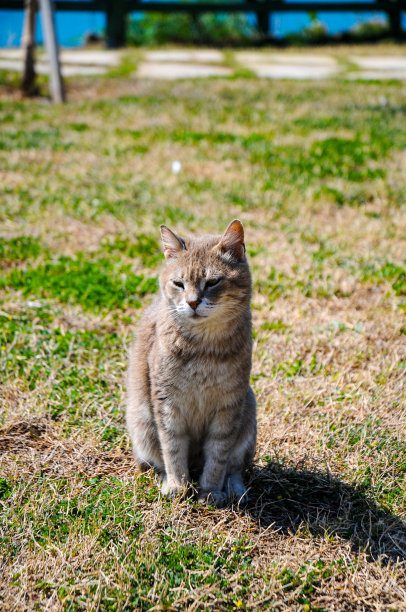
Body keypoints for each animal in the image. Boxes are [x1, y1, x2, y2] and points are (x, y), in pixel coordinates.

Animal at [125, 220, 255, 506]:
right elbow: (172, 448)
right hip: (141, 421)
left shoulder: (229, 405)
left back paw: (235, 489)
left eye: (213, 282)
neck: (203, 348)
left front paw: (211, 490)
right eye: (179, 283)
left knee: (236, 466)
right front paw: (177, 485)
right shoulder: (166, 403)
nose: (193, 302)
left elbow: (218, 456)